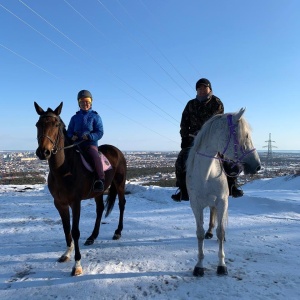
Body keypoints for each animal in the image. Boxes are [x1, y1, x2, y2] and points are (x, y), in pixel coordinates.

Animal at [34, 102, 127, 276]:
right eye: (38, 124)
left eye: (56, 124)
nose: (43, 152)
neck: (63, 169)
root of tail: (116, 150)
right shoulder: (60, 203)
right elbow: (66, 229)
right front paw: (66, 253)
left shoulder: (75, 202)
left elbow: (75, 231)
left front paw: (77, 265)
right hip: (98, 191)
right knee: (100, 209)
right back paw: (92, 237)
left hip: (120, 183)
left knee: (122, 204)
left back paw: (118, 232)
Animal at [186, 108, 262, 276]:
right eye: (246, 135)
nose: (257, 166)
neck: (207, 174)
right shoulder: (196, 205)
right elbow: (199, 233)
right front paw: (199, 266)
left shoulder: (222, 201)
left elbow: (220, 232)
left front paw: (222, 265)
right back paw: (209, 232)